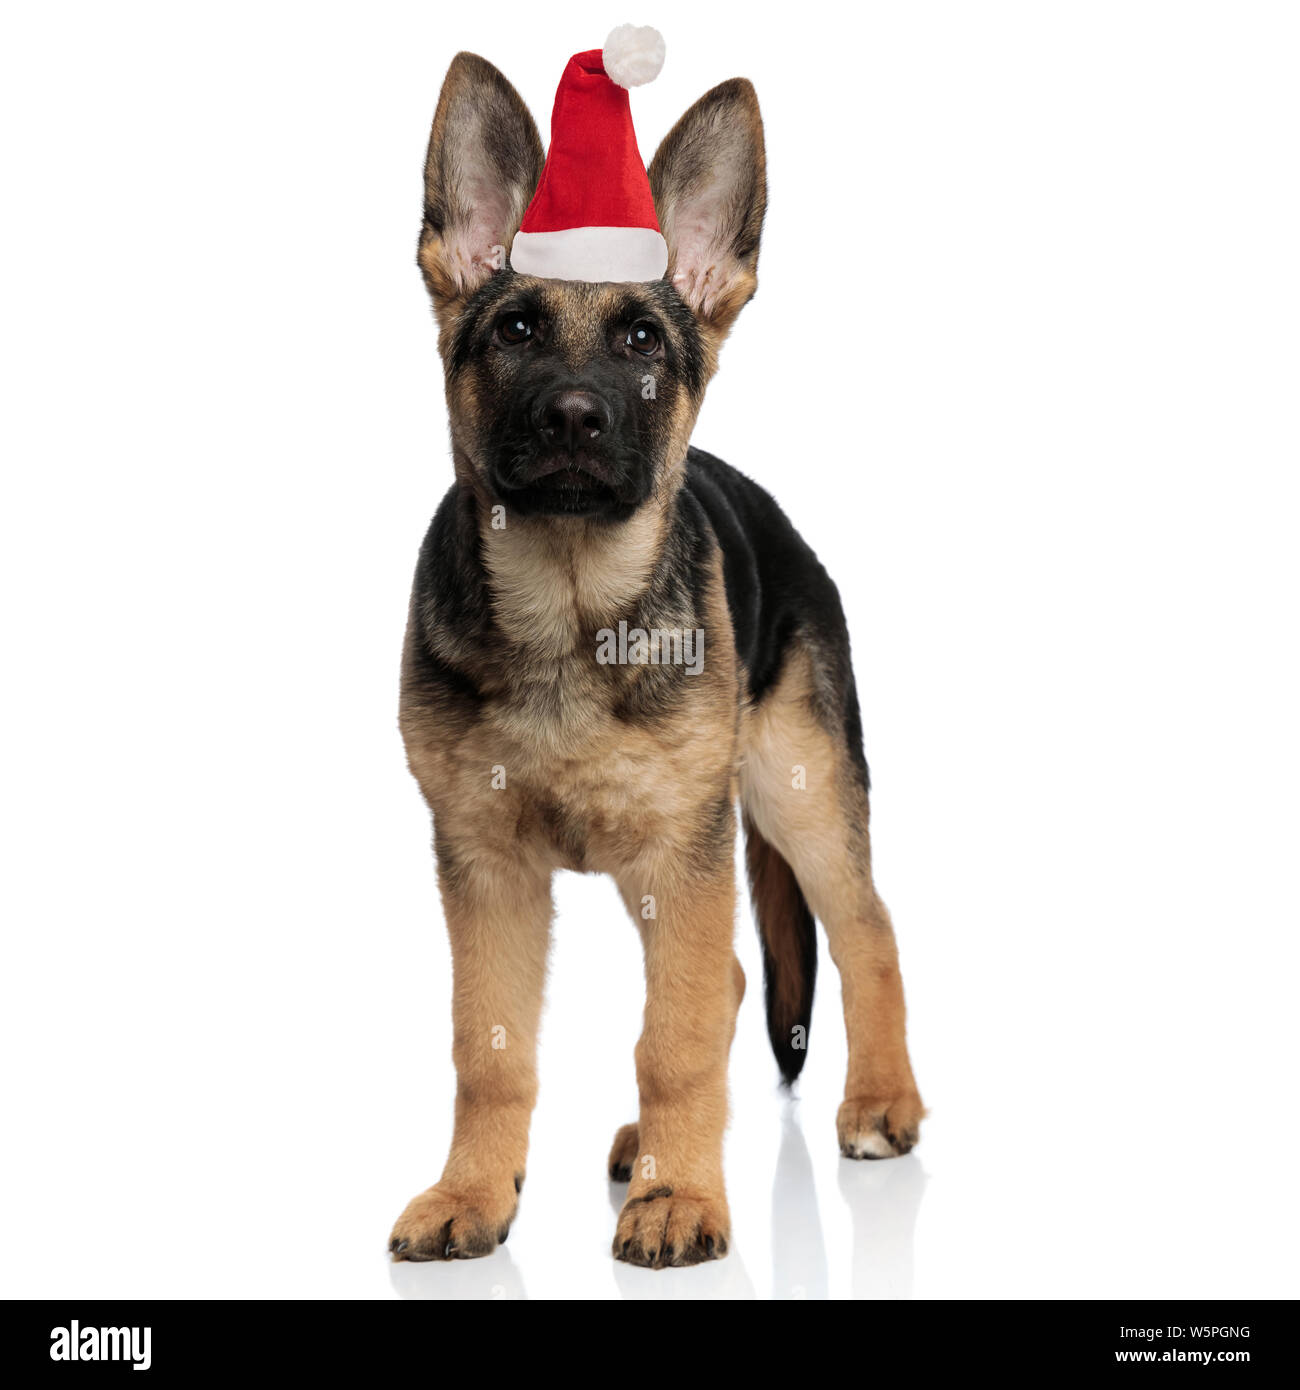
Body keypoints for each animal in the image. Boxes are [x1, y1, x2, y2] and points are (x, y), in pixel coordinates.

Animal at [389, 51, 923, 1273]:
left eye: (641, 340)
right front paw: (475, 1189)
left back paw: (878, 1103)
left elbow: (672, 1034)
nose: (575, 418)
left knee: (864, 931)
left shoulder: (687, 850)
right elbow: (490, 1046)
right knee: (723, 973)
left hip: (793, 797)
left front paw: (682, 1198)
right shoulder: (484, 864)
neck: (570, 612)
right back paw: (647, 1144)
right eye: (515, 328)